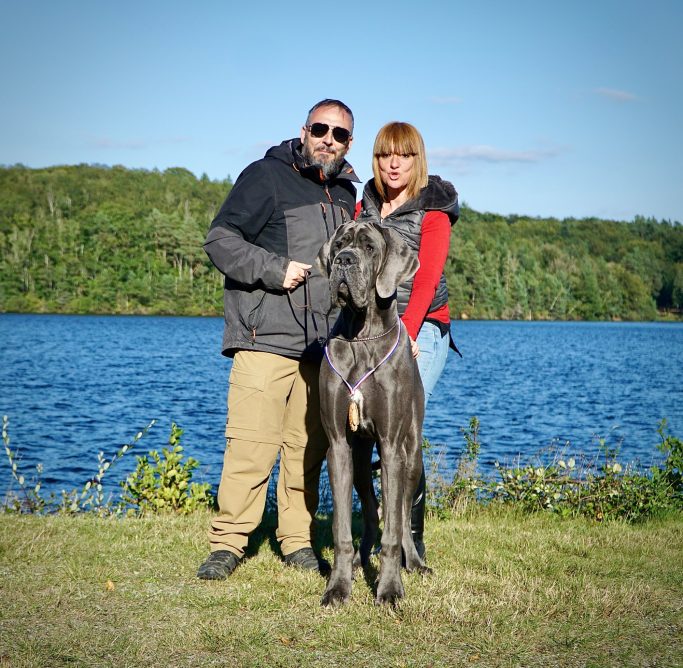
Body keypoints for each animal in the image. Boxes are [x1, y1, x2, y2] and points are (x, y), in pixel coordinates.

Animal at [318, 222, 430, 608]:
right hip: (360, 461)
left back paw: (415, 564)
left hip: (411, 454)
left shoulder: (392, 446)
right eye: (339, 244)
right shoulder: (338, 445)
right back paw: (358, 558)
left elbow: (393, 529)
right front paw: (338, 586)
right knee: (368, 511)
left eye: (368, 247)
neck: (362, 336)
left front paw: (390, 589)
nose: (343, 260)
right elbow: (341, 527)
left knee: (403, 513)